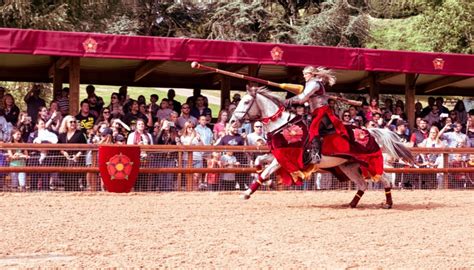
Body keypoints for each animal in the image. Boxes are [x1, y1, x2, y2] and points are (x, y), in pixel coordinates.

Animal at [231, 86, 414, 209]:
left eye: (246, 102)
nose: (232, 122)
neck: (283, 125)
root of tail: (368, 132)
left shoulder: (285, 158)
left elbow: (264, 173)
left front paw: (246, 193)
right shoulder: (278, 155)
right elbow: (259, 160)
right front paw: (264, 179)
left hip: (368, 162)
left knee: (385, 180)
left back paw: (388, 204)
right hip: (348, 166)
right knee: (363, 185)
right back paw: (351, 204)